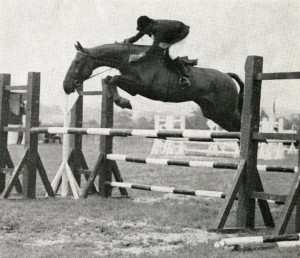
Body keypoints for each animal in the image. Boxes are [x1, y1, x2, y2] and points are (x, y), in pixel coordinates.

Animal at [63, 42, 244, 132]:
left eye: (77, 62)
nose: (66, 86)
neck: (133, 59)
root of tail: (227, 76)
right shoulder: (133, 88)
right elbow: (109, 79)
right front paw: (121, 101)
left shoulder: (142, 86)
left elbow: (113, 78)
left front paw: (123, 102)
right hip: (214, 113)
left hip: (225, 110)